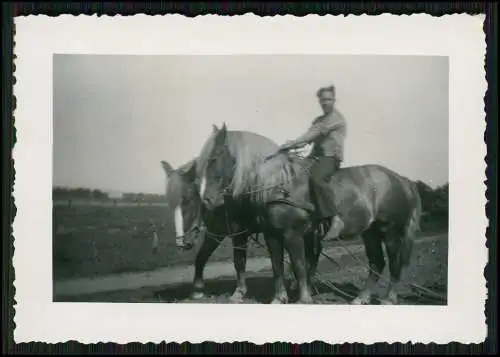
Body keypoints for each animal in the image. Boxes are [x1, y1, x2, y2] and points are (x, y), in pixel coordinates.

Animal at [199, 122, 422, 304]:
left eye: (214, 157)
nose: (207, 199)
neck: (279, 183)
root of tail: (401, 180)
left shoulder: (293, 234)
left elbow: (299, 266)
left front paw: (304, 298)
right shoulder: (272, 235)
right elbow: (277, 267)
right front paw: (279, 298)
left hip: (390, 231)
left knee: (394, 263)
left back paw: (389, 298)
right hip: (371, 233)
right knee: (377, 263)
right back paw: (361, 298)